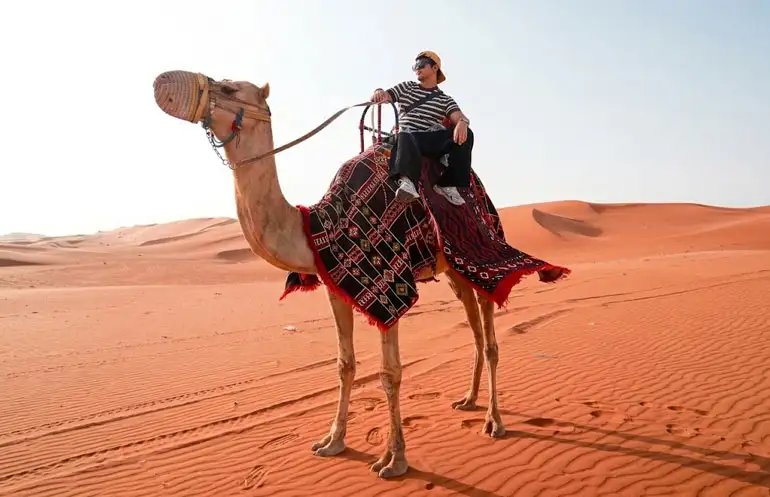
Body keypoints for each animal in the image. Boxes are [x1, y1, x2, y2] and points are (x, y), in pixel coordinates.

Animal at [152, 70, 558, 479]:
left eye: (229, 88)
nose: (165, 84)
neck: (318, 224)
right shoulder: (336, 285)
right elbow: (344, 365)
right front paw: (332, 441)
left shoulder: (390, 285)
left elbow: (390, 372)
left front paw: (395, 460)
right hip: (454, 270)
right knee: (473, 327)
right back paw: (468, 400)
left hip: (483, 249)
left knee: (489, 336)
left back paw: (494, 421)